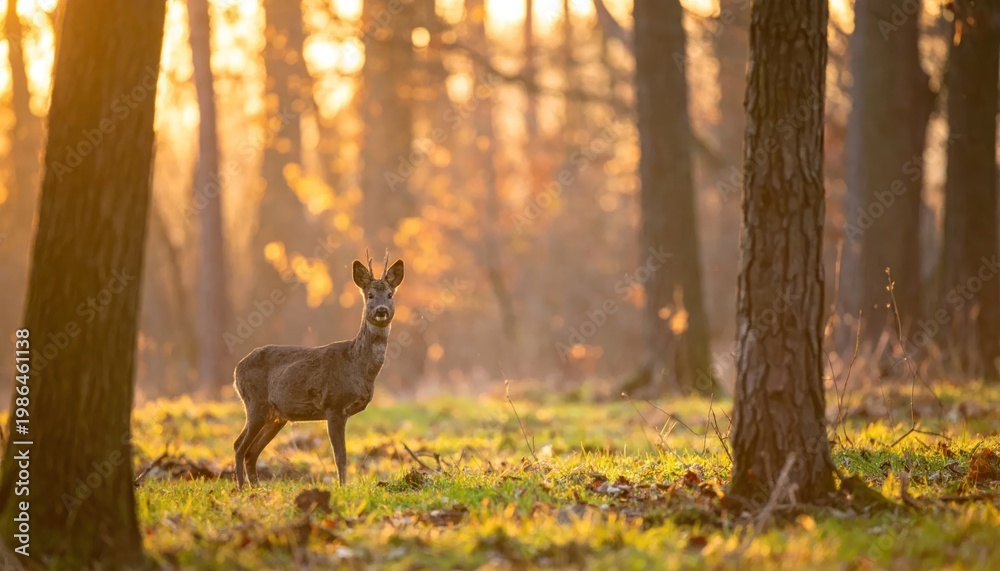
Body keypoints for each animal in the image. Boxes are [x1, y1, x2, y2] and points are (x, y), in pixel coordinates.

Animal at [233, 251, 404, 487]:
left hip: (275, 415)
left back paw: (256, 488)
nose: (381, 311)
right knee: (239, 445)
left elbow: (341, 455)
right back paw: (242, 488)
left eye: (389, 294)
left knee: (251, 451)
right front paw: (342, 487)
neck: (358, 366)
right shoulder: (333, 405)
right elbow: (340, 455)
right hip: (254, 402)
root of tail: (236, 370)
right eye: (369, 295)